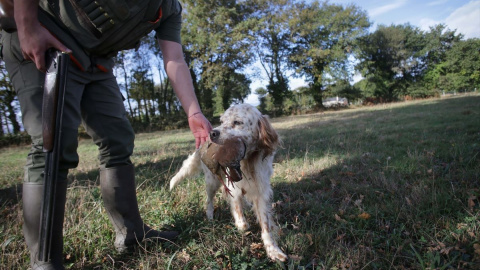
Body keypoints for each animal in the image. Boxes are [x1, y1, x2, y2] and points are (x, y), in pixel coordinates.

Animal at [171, 103, 286, 262]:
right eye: (222, 121)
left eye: (237, 122)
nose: (212, 133)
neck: (248, 163)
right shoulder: (235, 188)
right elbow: (240, 216)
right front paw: (241, 224)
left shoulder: (261, 192)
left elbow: (265, 224)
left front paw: (273, 250)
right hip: (212, 181)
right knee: (209, 199)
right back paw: (210, 215)